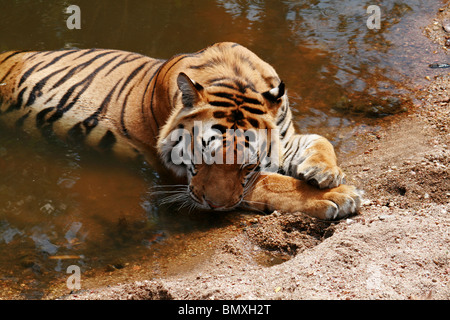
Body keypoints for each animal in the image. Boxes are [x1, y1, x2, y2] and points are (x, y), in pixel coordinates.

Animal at [0, 42, 360, 220]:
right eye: (202, 155)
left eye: (246, 165)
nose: (213, 207)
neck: (235, 78)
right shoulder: (171, 171)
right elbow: (271, 183)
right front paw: (338, 196)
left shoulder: (283, 136)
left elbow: (320, 140)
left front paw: (324, 173)